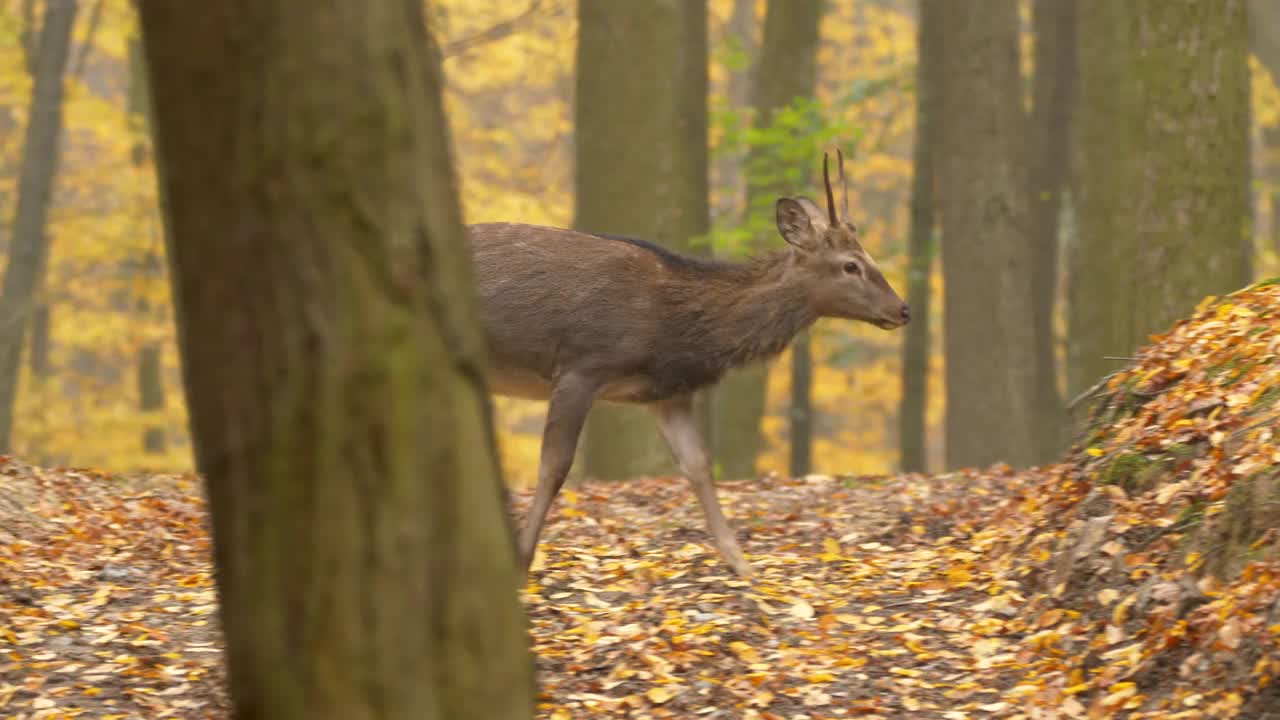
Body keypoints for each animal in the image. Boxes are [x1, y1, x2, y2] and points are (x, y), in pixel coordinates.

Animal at [471, 151, 911, 576]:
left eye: (869, 256)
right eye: (850, 265)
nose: (903, 309)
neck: (675, 331)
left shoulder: (667, 393)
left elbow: (697, 465)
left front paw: (742, 565)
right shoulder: (582, 364)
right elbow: (554, 467)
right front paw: (522, 560)